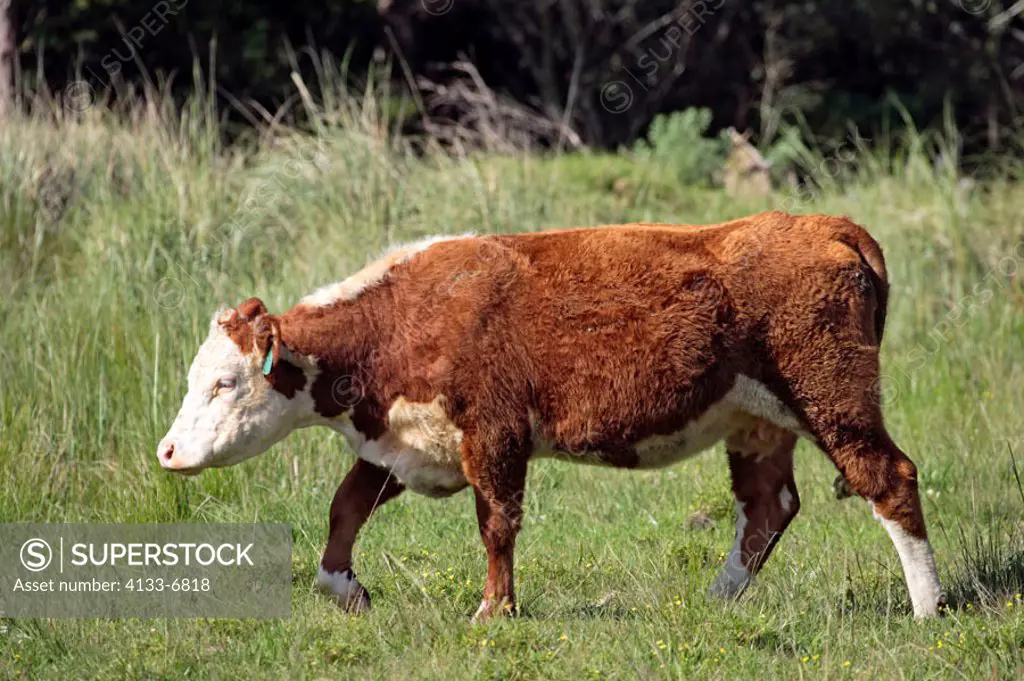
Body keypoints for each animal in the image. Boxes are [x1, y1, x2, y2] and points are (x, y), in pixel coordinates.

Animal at [155, 210, 946, 614]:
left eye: (223, 382)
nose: (167, 451)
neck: (402, 319)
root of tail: (822, 222)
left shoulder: (494, 434)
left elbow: (496, 526)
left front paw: (494, 611)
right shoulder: (405, 439)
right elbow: (345, 507)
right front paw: (342, 587)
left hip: (832, 396)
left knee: (889, 478)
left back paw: (927, 606)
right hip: (758, 421)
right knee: (767, 506)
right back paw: (716, 599)